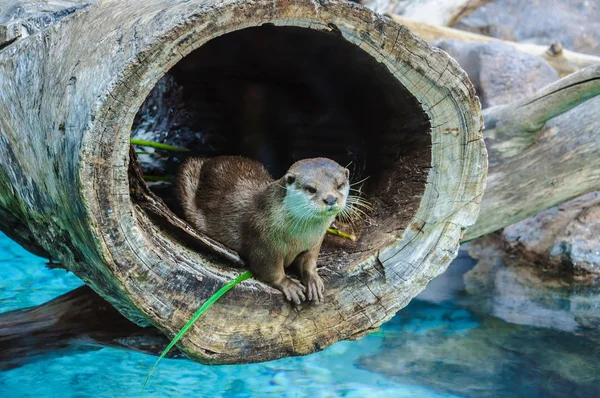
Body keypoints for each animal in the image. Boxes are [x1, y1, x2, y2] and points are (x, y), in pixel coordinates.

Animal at [176, 156, 350, 304]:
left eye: (339, 185)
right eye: (311, 189)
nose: (330, 199)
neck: (298, 237)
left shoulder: (314, 243)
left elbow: (309, 262)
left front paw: (313, 280)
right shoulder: (263, 243)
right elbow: (269, 269)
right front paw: (289, 285)